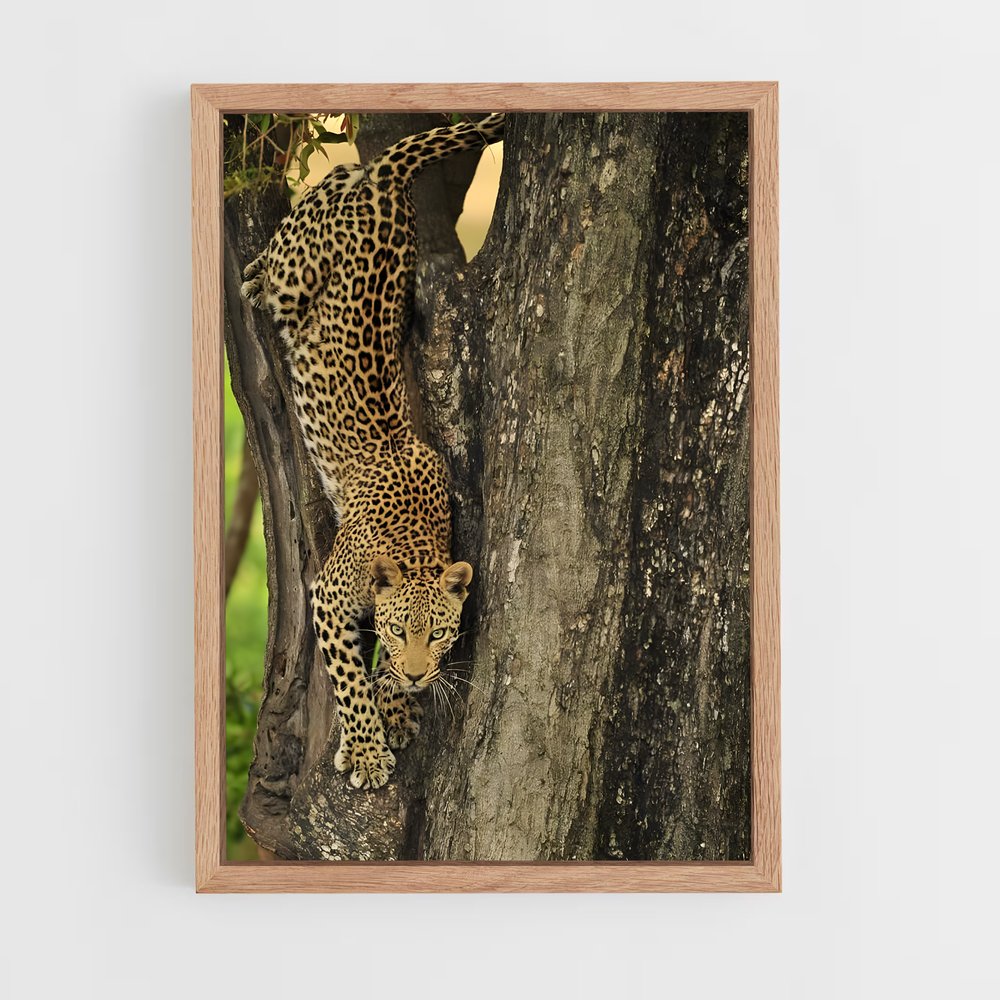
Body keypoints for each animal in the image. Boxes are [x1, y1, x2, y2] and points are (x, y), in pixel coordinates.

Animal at [240, 114, 504, 789]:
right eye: (400, 628)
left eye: (440, 634)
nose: (416, 674)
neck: (412, 545)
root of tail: (388, 186)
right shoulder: (328, 600)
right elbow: (349, 680)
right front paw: (366, 750)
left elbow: (374, 676)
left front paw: (398, 705)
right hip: (296, 275)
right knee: (286, 241)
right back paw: (251, 274)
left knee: (337, 173)